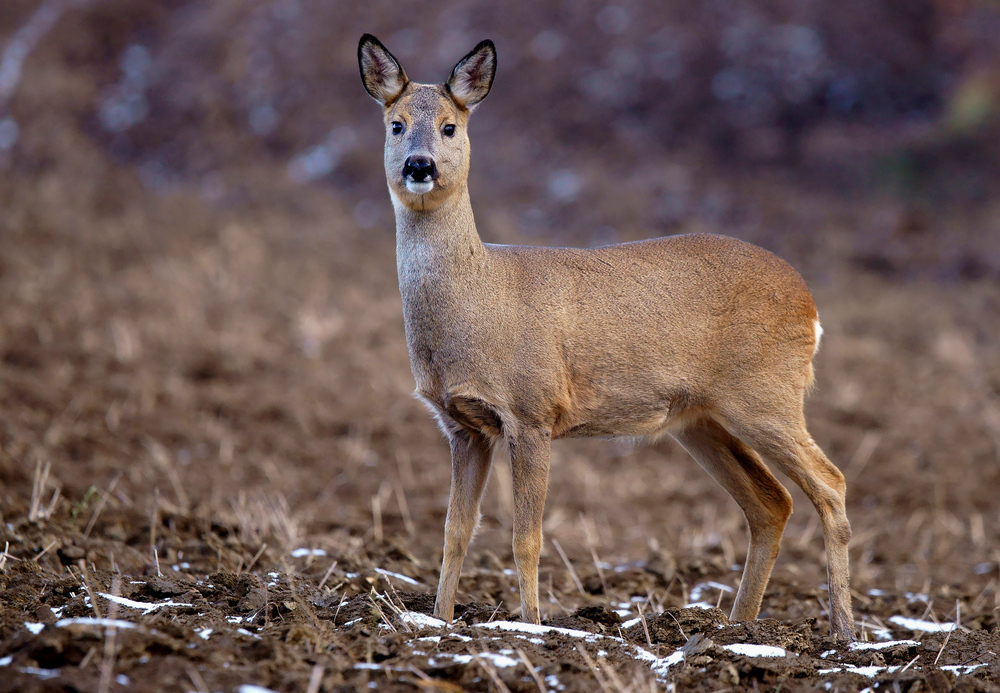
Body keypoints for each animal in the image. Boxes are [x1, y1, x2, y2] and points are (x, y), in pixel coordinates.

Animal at [356, 32, 856, 636]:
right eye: (396, 124)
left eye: (451, 126)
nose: (420, 165)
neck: (482, 299)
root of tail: (810, 305)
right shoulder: (462, 426)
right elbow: (455, 532)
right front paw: (440, 621)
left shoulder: (532, 410)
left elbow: (526, 539)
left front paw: (531, 625)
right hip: (702, 419)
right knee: (771, 502)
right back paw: (737, 628)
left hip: (766, 393)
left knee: (830, 482)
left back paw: (844, 631)